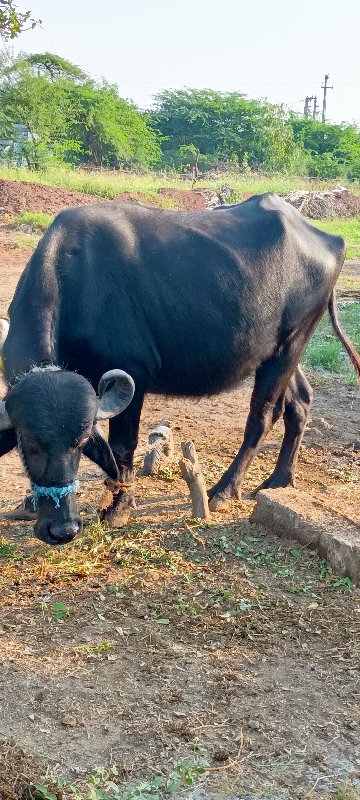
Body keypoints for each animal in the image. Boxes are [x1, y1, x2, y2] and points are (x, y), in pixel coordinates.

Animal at [1, 193, 358, 544]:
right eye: (29, 444)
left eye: (81, 443)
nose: (63, 529)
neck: (77, 282)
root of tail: (329, 239)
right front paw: (30, 503)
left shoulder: (133, 374)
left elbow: (122, 446)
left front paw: (118, 508)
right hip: (278, 351)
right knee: (300, 402)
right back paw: (280, 480)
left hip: (291, 344)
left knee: (264, 416)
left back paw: (224, 490)